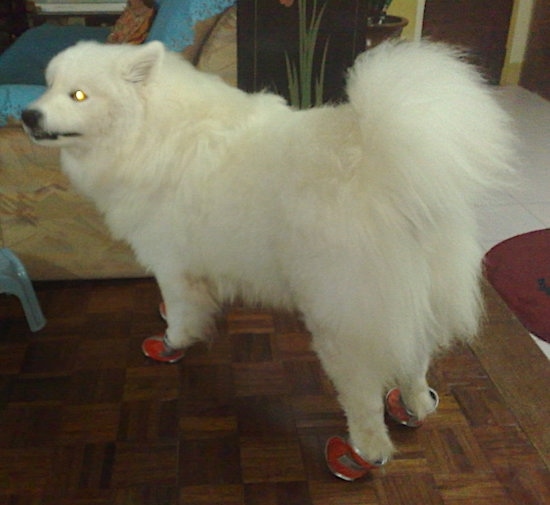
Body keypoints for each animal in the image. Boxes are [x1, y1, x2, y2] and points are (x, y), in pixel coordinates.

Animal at [21, 40, 512, 476]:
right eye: (48, 85)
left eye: (78, 95)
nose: (27, 114)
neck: (152, 129)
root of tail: (391, 176)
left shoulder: (171, 263)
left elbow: (179, 315)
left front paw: (170, 343)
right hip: (415, 302)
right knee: (414, 360)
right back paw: (416, 405)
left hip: (340, 321)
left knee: (364, 400)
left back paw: (361, 454)